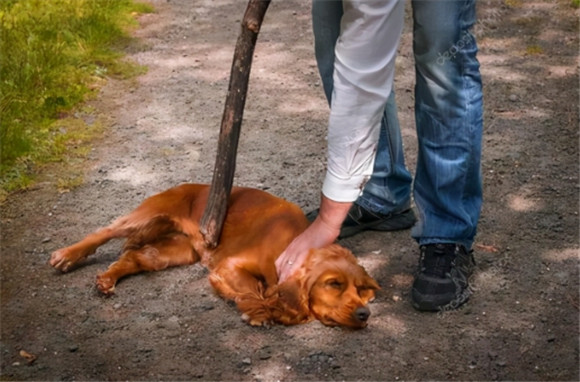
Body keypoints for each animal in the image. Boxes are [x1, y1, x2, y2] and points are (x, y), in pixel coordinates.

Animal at [51, 185, 380, 328]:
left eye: (360, 290)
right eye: (334, 284)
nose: (364, 315)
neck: (292, 240)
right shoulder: (230, 264)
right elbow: (255, 291)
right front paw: (260, 311)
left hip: (175, 251)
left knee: (136, 258)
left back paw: (107, 279)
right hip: (147, 215)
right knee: (103, 231)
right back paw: (66, 255)